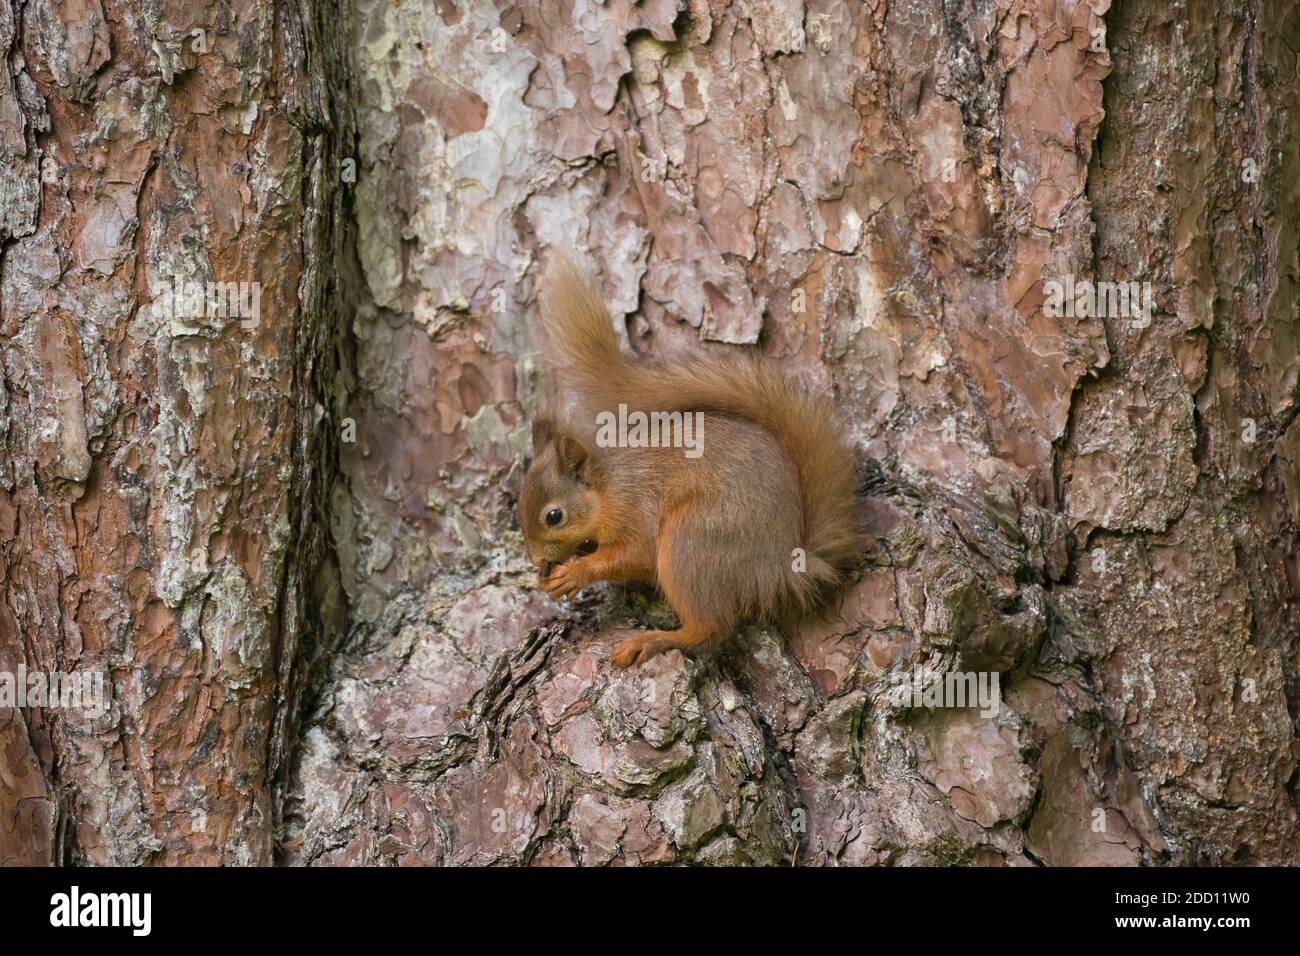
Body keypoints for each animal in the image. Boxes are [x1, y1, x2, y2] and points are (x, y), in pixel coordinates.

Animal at [518, 251, 865, 668]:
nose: (536, 561)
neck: (608, 485)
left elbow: (636, 553)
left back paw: (653, 641)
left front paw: (576, 572)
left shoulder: (635, 509)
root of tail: (785, 563)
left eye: (554, 516)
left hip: (692, 541)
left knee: (709, 630)